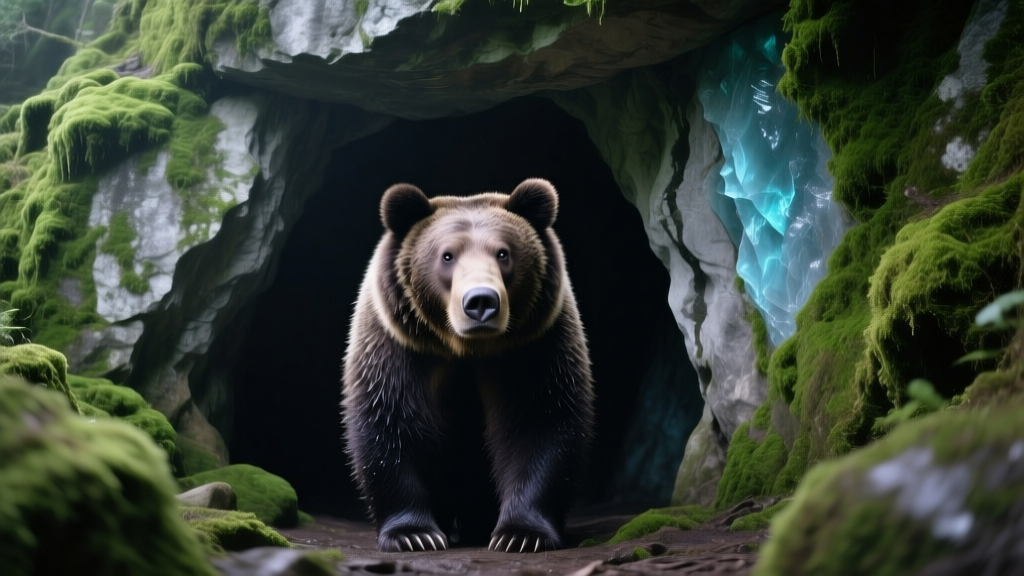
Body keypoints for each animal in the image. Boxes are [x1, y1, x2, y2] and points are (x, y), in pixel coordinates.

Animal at [342, 178, 595, 553]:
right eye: (447, 255)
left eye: (503, 253)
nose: (481, 301)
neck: (467, 348)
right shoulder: (399, 348)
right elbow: (390, 424)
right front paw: (414, 535)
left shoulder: (535, 347)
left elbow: (538, 424)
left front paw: (521, 534)